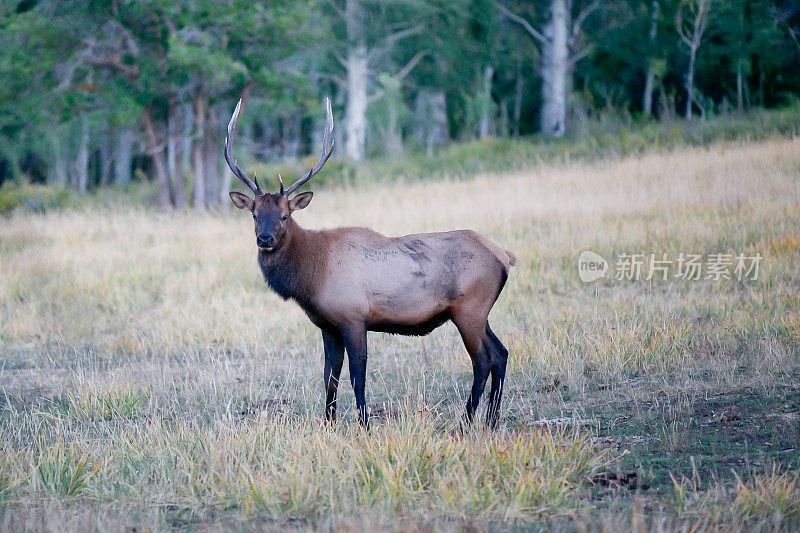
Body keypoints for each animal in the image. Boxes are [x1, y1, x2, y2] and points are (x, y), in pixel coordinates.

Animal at [225, 95, 516, 428]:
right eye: (254, 214)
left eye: (285, 215)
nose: (265, 239)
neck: (312, 275)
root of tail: (504, 256)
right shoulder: (328, 325)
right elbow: (329, 377)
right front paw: (328, 423)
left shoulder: (354, 318)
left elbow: (357, 376)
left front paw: (364, 423)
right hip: (480, 312)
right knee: (501, 353)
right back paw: (491, 420)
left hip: (469, 309)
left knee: (483, 360)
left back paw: (466, 423)